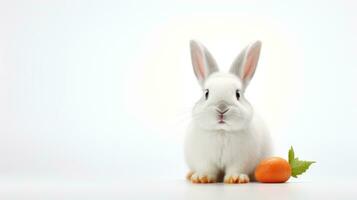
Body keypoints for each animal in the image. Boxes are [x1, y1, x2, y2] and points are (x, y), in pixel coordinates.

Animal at [185, 39, 272, 184]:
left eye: (238, 94)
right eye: (206, 93)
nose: (222, 108)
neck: (222, 131)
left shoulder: (241, 159)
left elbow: (236, 169)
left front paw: (235, 178)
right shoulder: (204, 159)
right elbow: (207, 169)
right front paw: (202, 178)